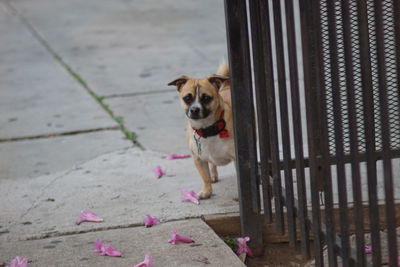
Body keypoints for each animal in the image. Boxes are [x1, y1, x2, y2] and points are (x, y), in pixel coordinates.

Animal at [168, 63, 236, 199]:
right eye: (187, 98)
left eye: (206, 98)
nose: (194, 109)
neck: (207, 129)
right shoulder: (198, 159)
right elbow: (205, 176)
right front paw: (207, 191)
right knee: (212, 165)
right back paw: (213, 175)